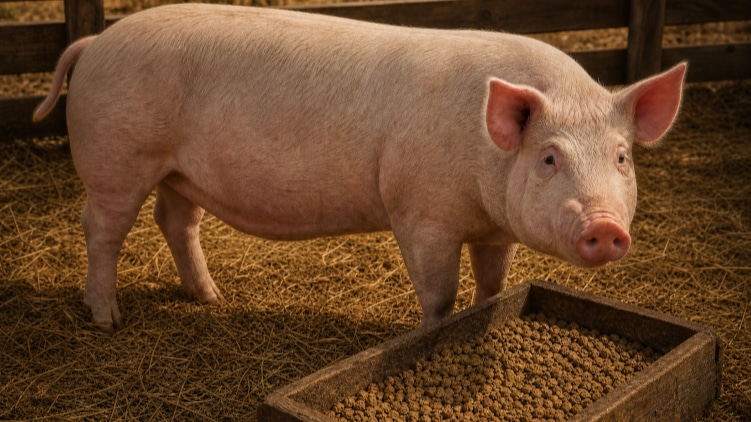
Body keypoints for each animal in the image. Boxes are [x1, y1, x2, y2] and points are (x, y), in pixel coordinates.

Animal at [33, 3, 686, 331]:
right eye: (550, 157)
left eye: (621, 156)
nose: (605, 226)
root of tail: (94, 41)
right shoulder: (420, 213)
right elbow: (440, 293)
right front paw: (427, 335)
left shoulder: (493, 229)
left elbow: (492, 285)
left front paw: (483, 314)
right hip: (118, 159)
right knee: (102, 230)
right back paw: (107, 320)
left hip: (178, 170)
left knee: (176, 221)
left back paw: (212, 299)